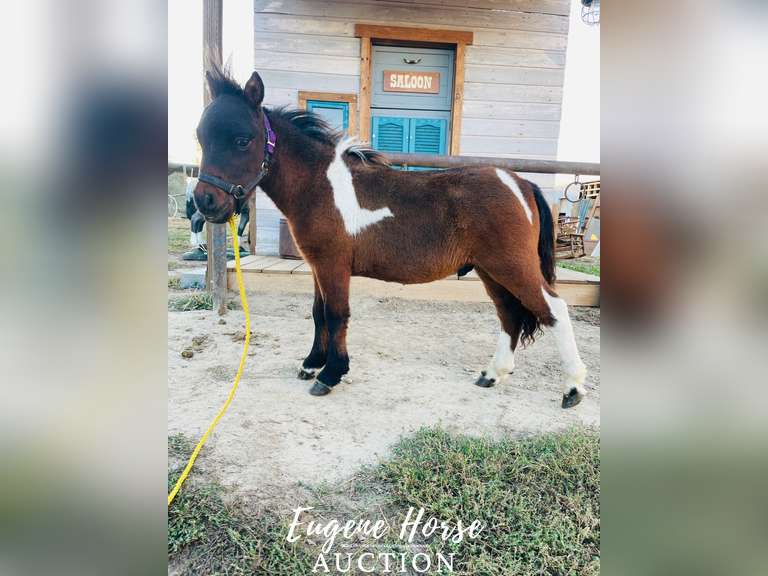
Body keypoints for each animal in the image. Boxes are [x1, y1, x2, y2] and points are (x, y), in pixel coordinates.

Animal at [193, 68, 588, 408]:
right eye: (200, 137)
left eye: (242, 140)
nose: (204, 202)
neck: (321, 187)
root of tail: (519, 183)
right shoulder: (318, 266)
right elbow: (319, 313)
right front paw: (311, 364)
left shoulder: (333, 265)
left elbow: (336, 314)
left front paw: (330, 374)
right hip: (491, 270)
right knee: (509, 314)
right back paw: (492, 375)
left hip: (512, 266)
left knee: (554, 309)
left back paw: (572, 388)